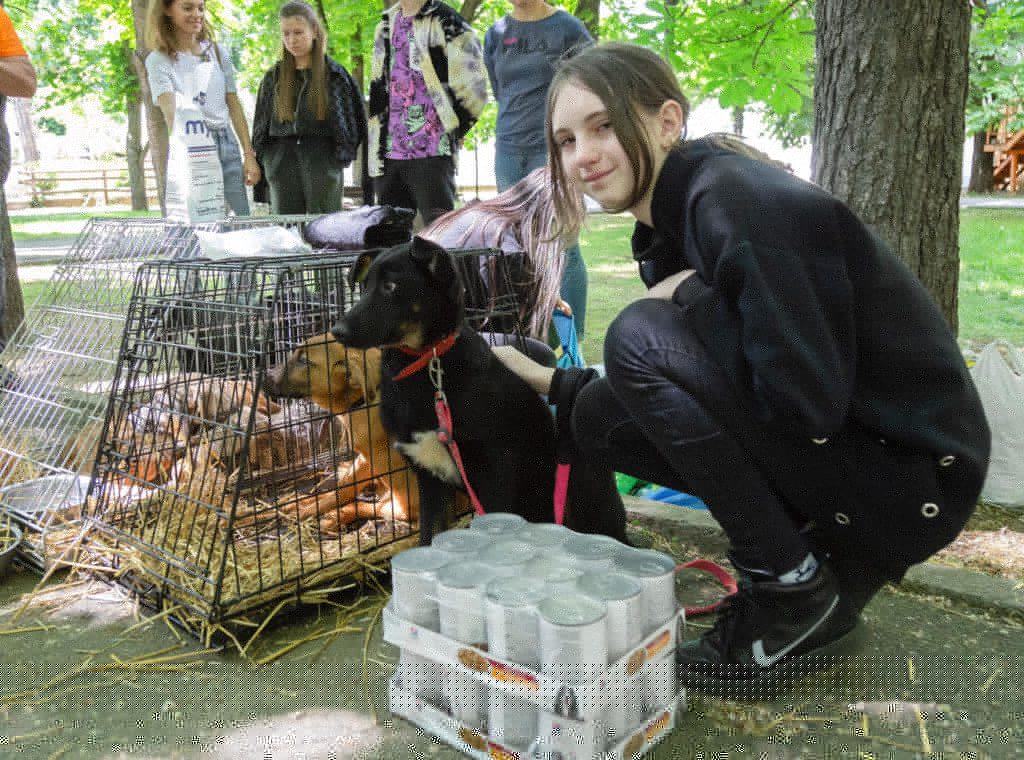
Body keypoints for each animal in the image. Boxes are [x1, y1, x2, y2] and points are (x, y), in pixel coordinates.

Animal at [268, 333, 423, 536]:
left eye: (304, 360)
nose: (265, 376)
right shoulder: (364, 459)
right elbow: (342, 489)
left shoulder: (372, 459)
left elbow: (341, 494)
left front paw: (308, 512)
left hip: (400, 504)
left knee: (368, 507)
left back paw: (331, 517)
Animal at [331, 236, 557, 540]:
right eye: (364, 287)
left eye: (390, 286)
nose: (337, 331)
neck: (425, 363)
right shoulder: (430, 478)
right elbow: (429, 536)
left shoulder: (496, 474)